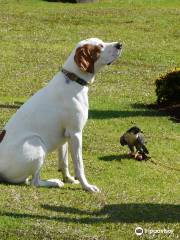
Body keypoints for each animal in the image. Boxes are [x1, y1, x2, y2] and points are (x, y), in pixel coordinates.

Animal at [0, 39, 122, 193]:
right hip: (37, 143)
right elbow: (79, 165)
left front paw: (69, 179)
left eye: (102, 41)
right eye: (99, 46)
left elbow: (64, 162)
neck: (73, 80)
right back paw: (54, 182)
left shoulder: (65, 136)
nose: (120, 44)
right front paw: (87, 186)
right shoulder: (76, 134)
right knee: (34, 182)